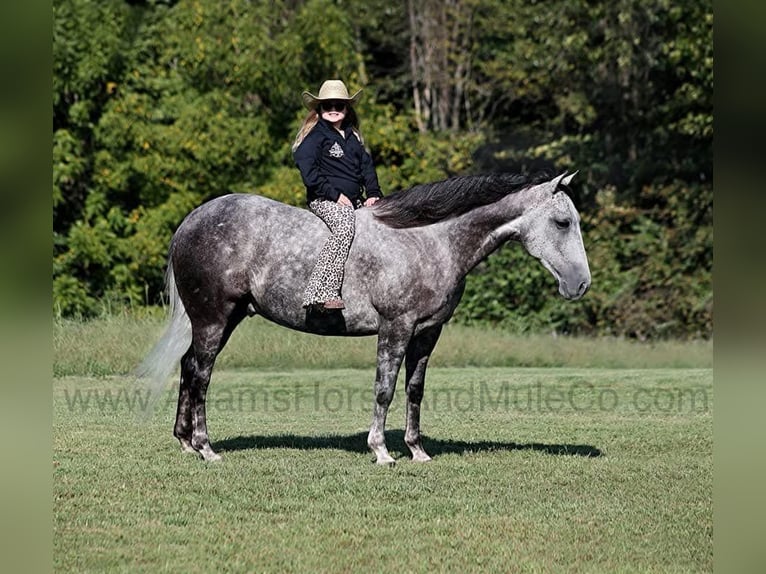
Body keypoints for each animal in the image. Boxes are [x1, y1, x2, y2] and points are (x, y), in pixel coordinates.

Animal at [141, 170, 592, 464]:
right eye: (562, 221)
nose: (581, 284)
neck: (428, 240)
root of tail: (189, 222)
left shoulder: (427, 333)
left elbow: (414, 390)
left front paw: (417, 450)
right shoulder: (395, 328)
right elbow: (384, 390)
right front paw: (381, 451)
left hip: (223, 319)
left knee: (188, 368)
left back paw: (185, 442)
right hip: (213, 319)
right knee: (201, 375)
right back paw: (205, 447)